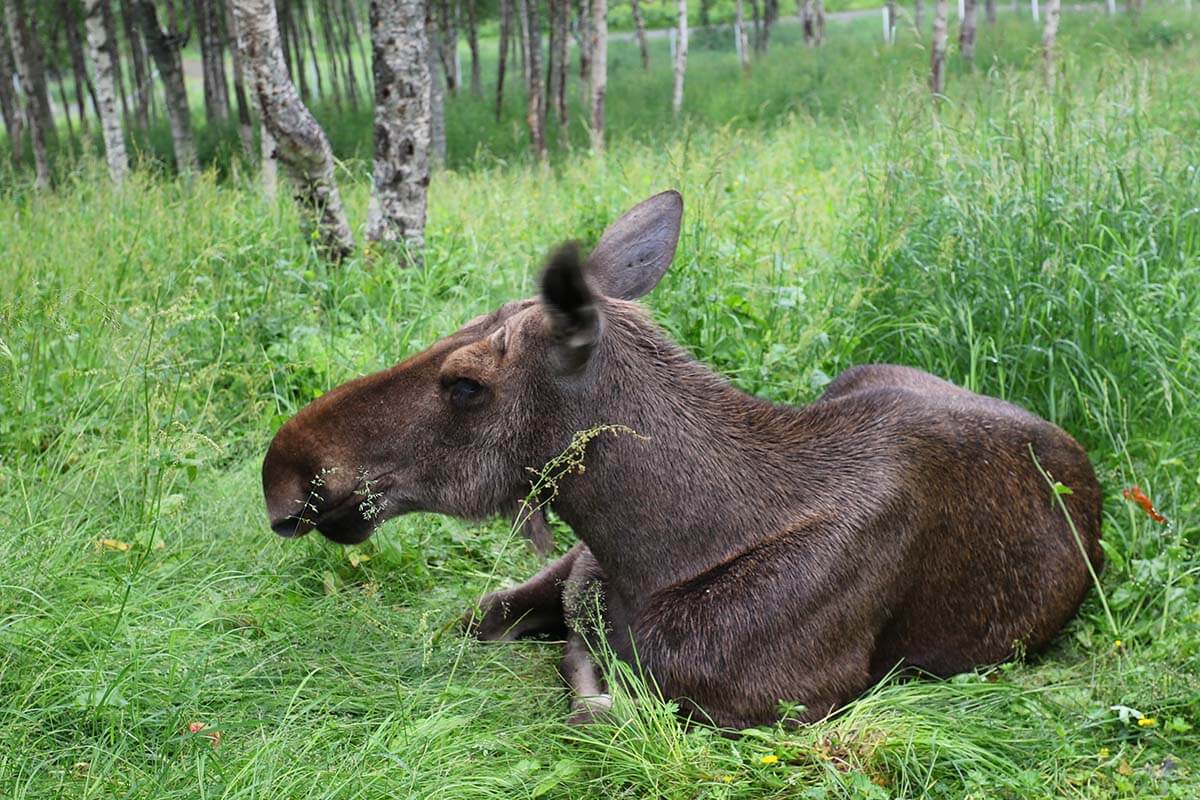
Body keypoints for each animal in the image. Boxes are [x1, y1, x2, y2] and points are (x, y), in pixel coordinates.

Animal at [265, 190, 1104, 729]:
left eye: (466, 385)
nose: (284, 469)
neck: (650, 556)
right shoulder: (572, 577)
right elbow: (489, 620)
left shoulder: (777, 705)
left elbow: (594, 700)